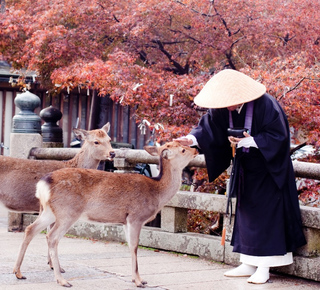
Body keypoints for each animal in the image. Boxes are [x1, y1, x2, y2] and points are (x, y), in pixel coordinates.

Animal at [13, 141, 198, 288]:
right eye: (182, 150)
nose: (196, 150)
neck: (157, 192)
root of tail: (43, 184)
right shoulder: (136, 217)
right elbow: (134, 246)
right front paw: (139, 281)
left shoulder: (125, 221)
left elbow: (130, 246)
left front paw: (137, 279)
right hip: (67, 212)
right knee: (51, 237)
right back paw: (62, 280)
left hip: (49, 211)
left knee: (30, 229)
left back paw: (18, 272)